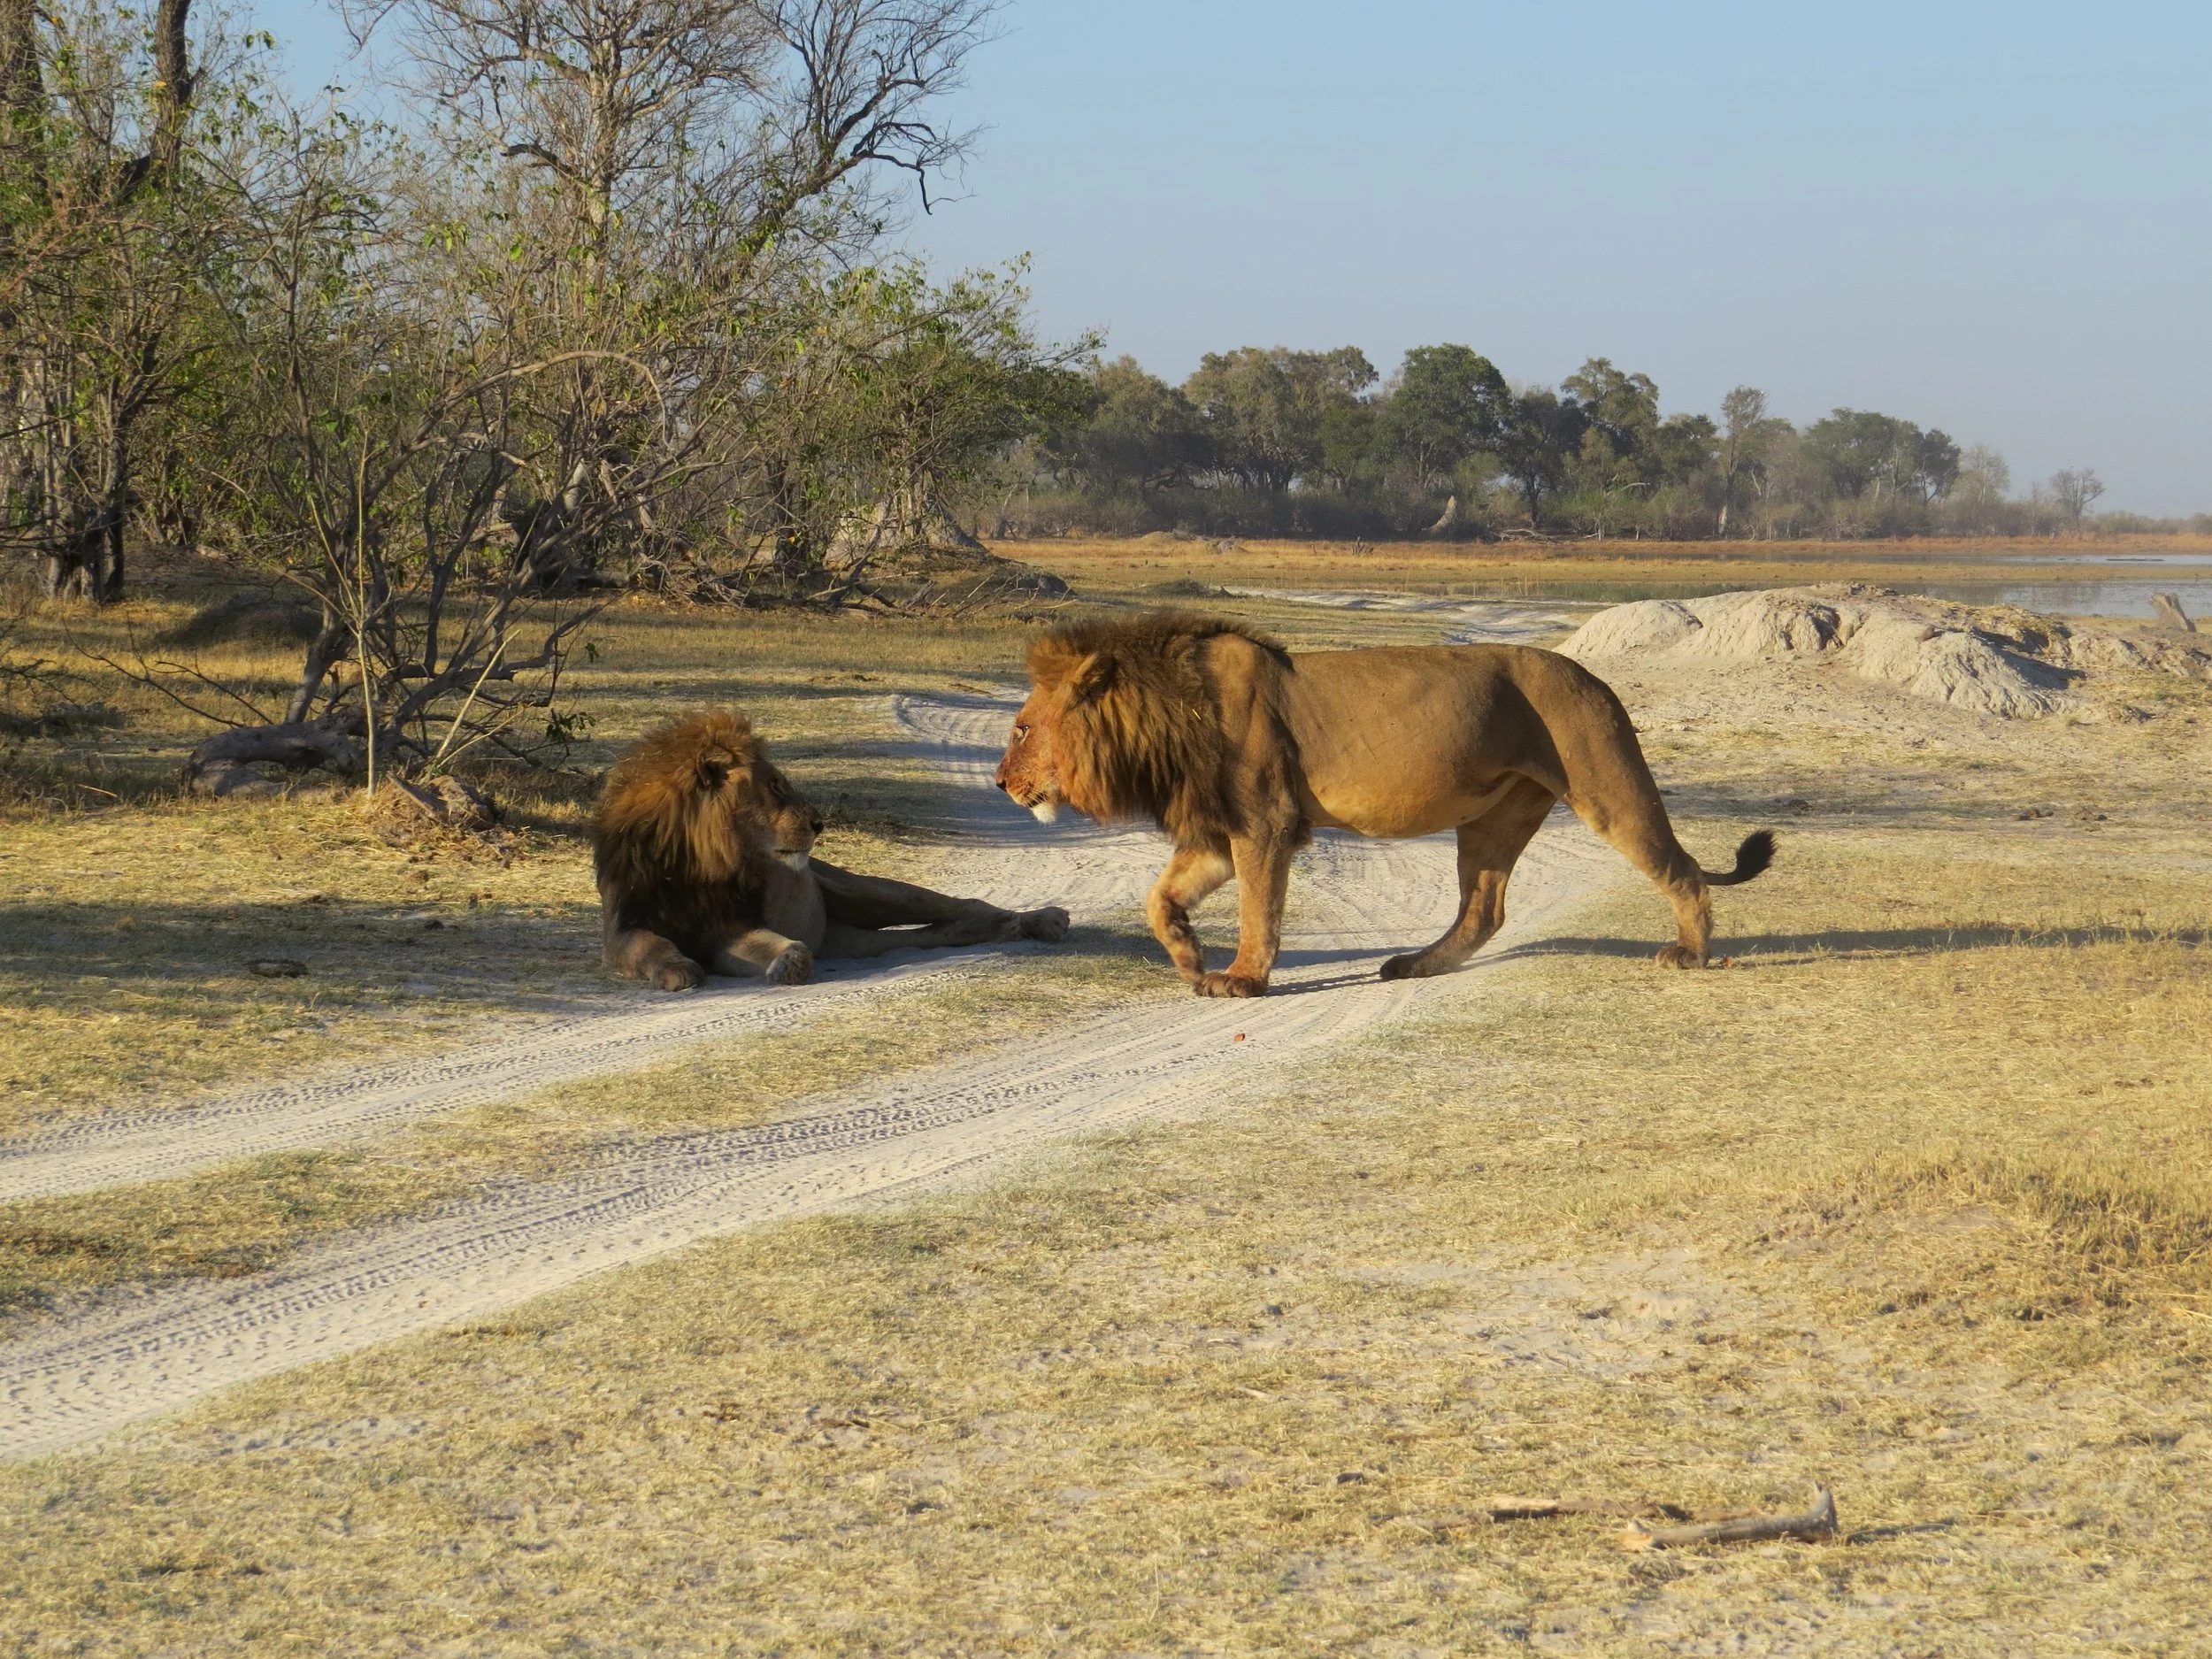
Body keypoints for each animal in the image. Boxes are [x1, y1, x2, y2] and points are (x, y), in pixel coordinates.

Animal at [594, 709, 1070, 991]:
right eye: (775, 786)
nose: (819, 823)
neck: (697, 861)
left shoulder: (729, 924)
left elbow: (775, 944)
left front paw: (788, 962)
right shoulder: (625, 925)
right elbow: (650, 946)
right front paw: (679, 968)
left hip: (873, 893)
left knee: (962, 904)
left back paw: (1036, 920)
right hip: (852, 939)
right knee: (925, 936)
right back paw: (1005, 928)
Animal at [993, 611, 1773, 998]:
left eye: (1022, 728)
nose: (1000, 782)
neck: (1163, 709)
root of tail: (1594, 675)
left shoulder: (1265, 822)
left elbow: (1258, 911)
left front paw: (1243, 979)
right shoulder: (1220, 829)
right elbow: (1158, 897)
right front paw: (1189, 958)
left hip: (1606, 782)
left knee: (1682, 870)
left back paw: (1690, 954)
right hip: (1493, 817)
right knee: (1484, 910)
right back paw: (1413, 965)